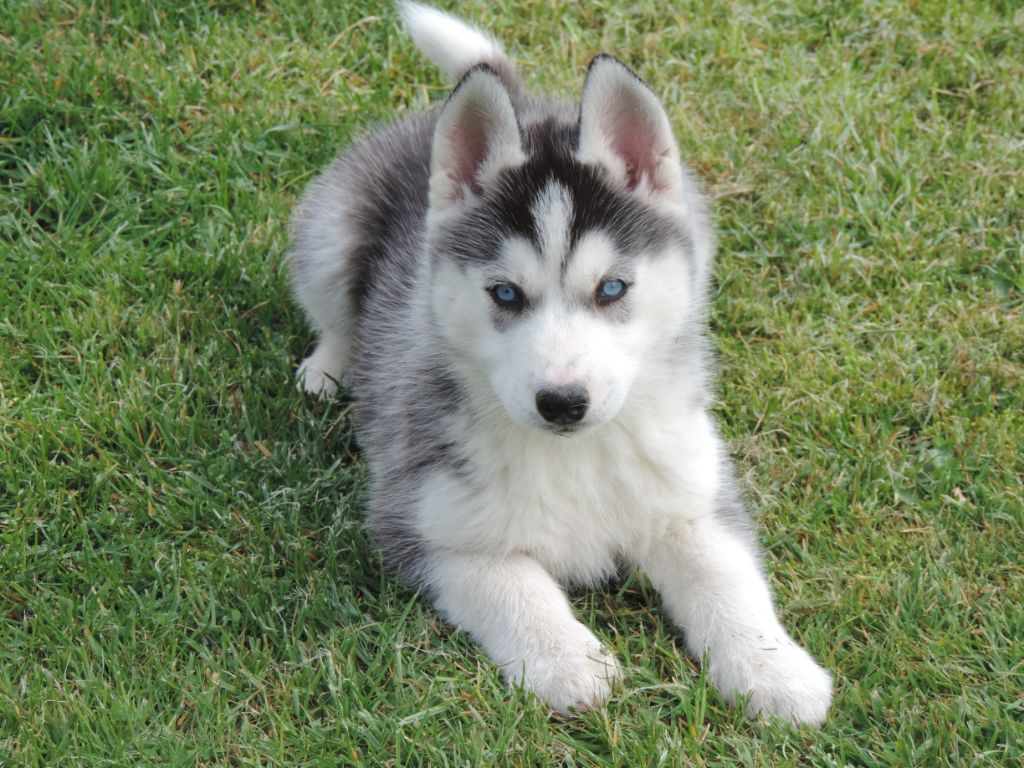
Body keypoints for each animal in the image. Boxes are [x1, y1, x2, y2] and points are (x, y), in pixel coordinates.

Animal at [288, 3, 831, 729]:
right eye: (505, 294)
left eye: (612, 288)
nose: (563, 402)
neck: (577, 453)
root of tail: (524, 102)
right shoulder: (424, 522)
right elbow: (512, 585)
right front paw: (569, 662)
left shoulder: (690, 498)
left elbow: (728, 581)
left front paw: (776, 671)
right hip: (330, 232)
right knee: (332, 311)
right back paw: (330, 367)